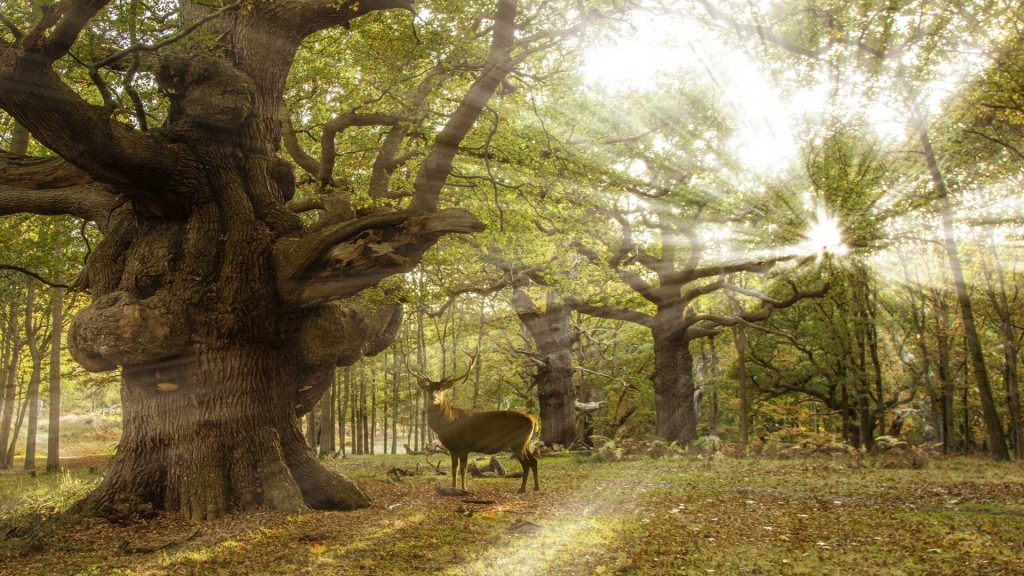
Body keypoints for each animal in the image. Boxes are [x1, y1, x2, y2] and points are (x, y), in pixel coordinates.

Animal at [409, 355, 539, 493]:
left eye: (442, 389)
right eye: (428, 388)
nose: (433, 397)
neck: (446, 426)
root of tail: (533, 420)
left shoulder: (464, 446)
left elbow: (463, 469)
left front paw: (464, 488)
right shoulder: (452, 449)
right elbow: (454, 469)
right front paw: (453, 488)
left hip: (517, 443)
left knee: (526, 464)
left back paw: (522, 488)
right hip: (525, 443)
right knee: (534, 461)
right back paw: (536, 487)